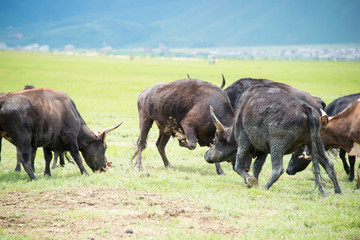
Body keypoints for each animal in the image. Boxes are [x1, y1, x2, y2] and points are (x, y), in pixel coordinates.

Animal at [205, 84, 340, 195]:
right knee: (328, 164)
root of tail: (305, 108)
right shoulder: (263, 150)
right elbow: (256, 167)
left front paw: (250, 180)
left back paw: (264, 187)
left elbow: (238, 166)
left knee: (277, 170)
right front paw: (251, 183)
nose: (206, 154)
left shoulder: (243, 143)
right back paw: (337, 191)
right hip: (315, 142)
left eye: (215, 141)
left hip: (277, 146)